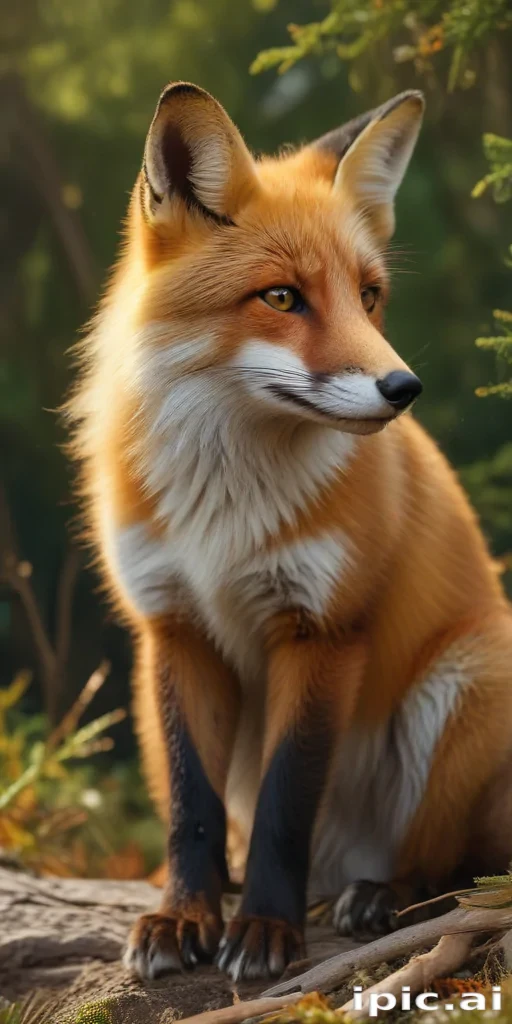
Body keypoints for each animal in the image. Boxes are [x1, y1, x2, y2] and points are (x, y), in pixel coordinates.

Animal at [68, 81, 512, 983]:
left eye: (368, 295)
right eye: (280, 298)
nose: (403, 387)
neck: (224, 510)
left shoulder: (322, 628)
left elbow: (285, 798)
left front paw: (267, 931)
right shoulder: (174, 627)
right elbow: (194, 809)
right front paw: (186, 919)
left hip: (469, 676)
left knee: (453, 865)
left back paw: (380, 896)